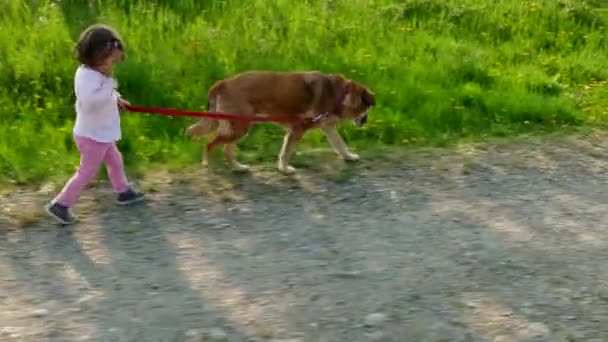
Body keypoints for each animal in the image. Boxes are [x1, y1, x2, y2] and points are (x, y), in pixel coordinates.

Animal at [185, 70, 376, 175]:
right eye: (368, 108)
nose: (366, 121)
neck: (340, 95)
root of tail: (222, 83)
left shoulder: (328, 128)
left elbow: (340, 144)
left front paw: (348, 157)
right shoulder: (297, 130)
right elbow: (286, 153)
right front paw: (284, 169)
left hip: (239, 126)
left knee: (226, 150)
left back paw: (238, 168)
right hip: (239, 127)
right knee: (210, 145)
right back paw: (208, 165)